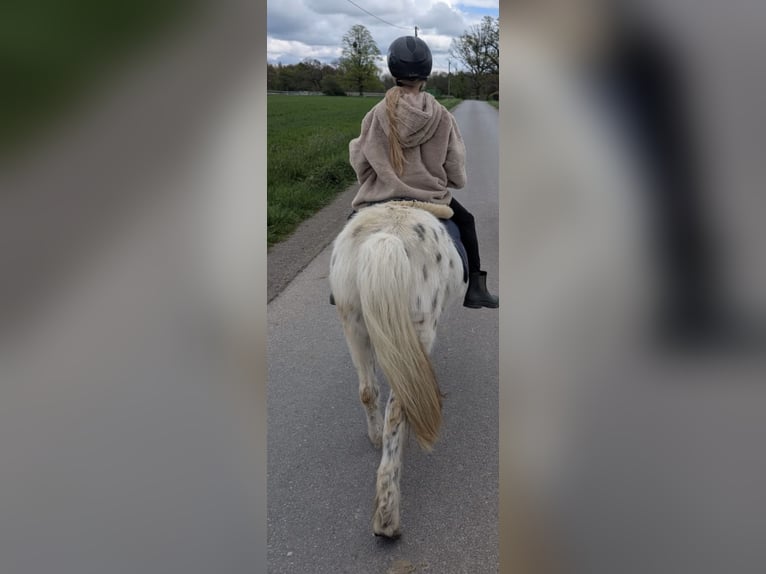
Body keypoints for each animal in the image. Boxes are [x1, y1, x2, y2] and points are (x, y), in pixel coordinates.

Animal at [329, 200, 468, 538]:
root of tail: (387, 237)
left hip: (353, 326)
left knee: (368, 391)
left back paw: (376, 436)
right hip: (419, 325)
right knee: (399, 406)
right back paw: (387, 516)